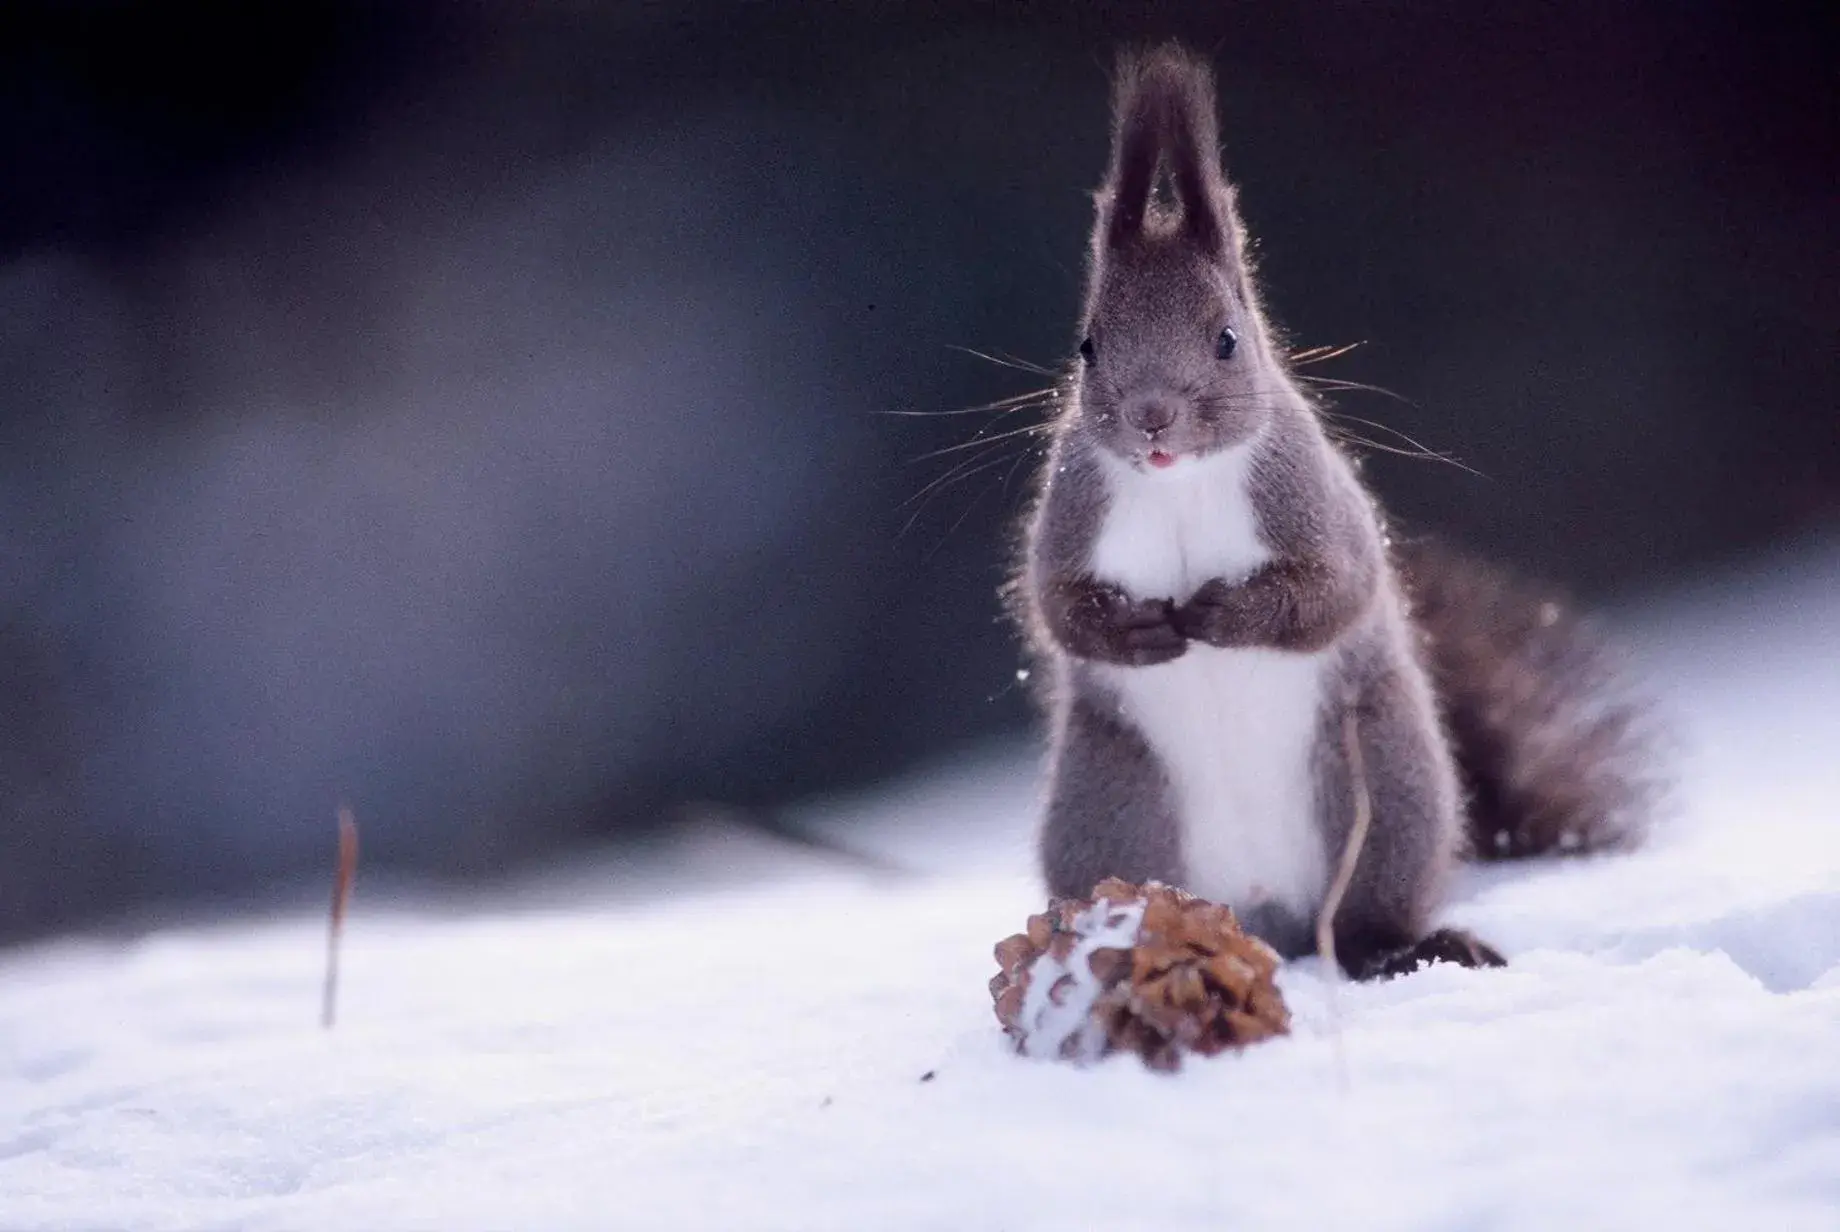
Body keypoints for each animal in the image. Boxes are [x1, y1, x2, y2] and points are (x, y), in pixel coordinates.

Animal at [1015, 43, 1663, 978]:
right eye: (1088, 345)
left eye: (1228, 339)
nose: (1151, 419)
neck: (1180, 484)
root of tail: (1268, 920)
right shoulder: (1074, 511)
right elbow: (1055, 608)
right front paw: (1133, 630)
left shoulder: (1311, 499)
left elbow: (1337, 590)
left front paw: (1226, 614)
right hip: (1111, 811)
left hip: (1387, 792)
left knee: (1365, 923)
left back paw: (1415, 948)